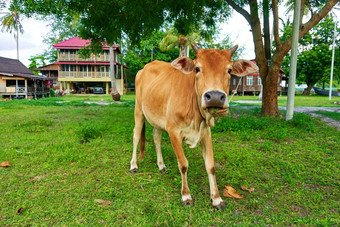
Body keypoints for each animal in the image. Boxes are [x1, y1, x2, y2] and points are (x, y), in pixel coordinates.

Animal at [130, 44, 258, 209]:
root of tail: (145, 67)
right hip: (138, 110)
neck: (196, 116)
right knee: (136, 135)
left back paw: (161, 165)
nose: (214, 97)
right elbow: (183, 164)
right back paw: (133, 165)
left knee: (156, 137)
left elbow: (210, 165)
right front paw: (186, 195)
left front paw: (216, 198)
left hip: (157, 117)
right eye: (197, 68)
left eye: (229, 70)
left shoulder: (206, 132)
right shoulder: (173, 131)